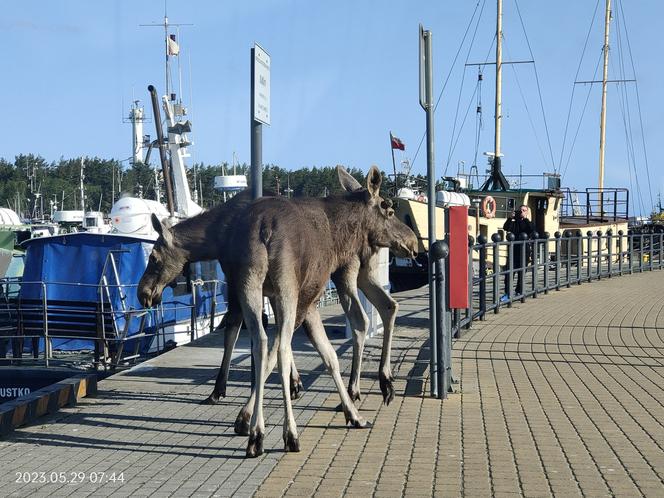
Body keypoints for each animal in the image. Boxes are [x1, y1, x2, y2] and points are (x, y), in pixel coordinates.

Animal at [136, 166, 416, 456]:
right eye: (388, 209)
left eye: (153, 257)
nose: (143, 292)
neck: (212, 238)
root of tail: (264, 228)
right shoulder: (304, 296)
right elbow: (322, 355)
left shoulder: (265, 291)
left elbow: (254, 338)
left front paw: (236, 404)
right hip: (302, 281)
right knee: (360, 317)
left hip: (269, 283)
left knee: (269, 341)